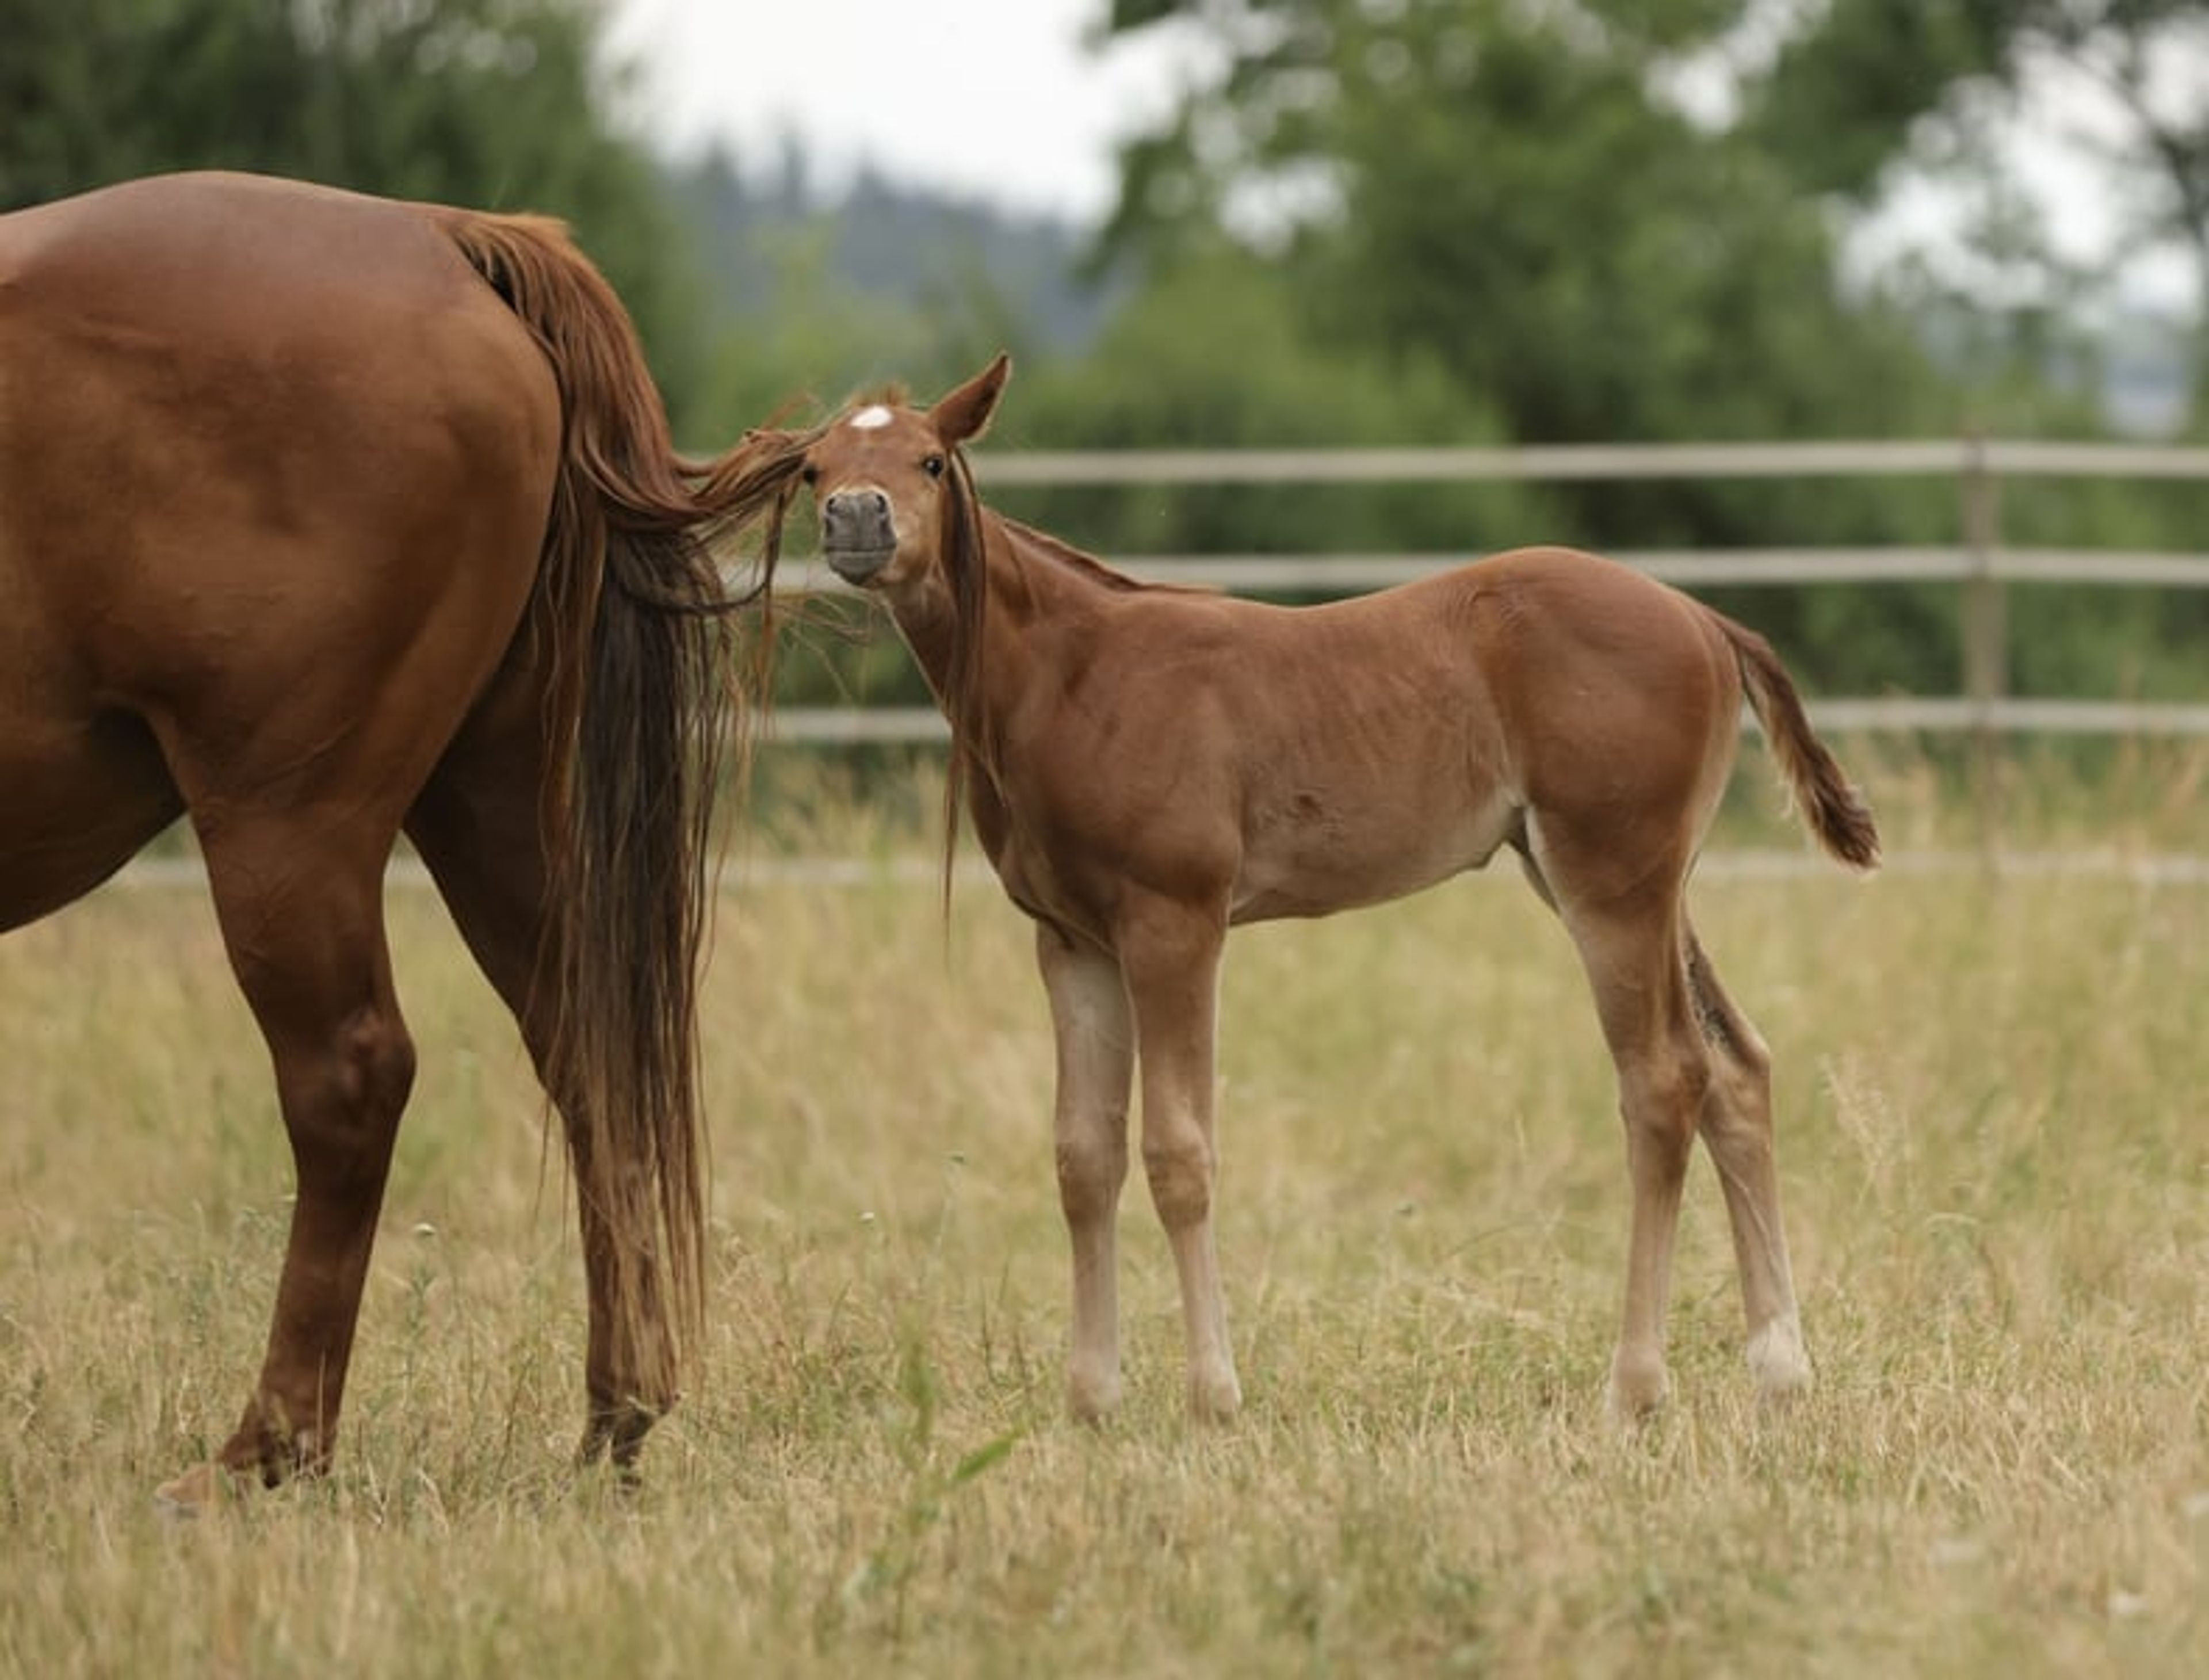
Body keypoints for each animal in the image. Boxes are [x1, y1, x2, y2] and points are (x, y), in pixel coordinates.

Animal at [0, 171, 816, 1509]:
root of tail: (444, 235)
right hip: (493, 808)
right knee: (587, 1056)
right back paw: (617, 1412)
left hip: (288, 827)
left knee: (352, 1077)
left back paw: (265, 1451)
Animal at [776, 353, 1880, 1426]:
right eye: (814, 470)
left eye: (928, 461)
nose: (857, 521)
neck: (1071, 676)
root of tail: (1703, 616)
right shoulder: (1072, 940)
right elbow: (1083, 1158)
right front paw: (1090, 1401)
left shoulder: (1175, 921)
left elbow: (1179, 1153)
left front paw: (1212, 1399)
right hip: (1624, 882)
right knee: (1737, 1069)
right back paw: (1781, 1371)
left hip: (1611, 879)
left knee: (1663, 1082)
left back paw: (1636, 1387)